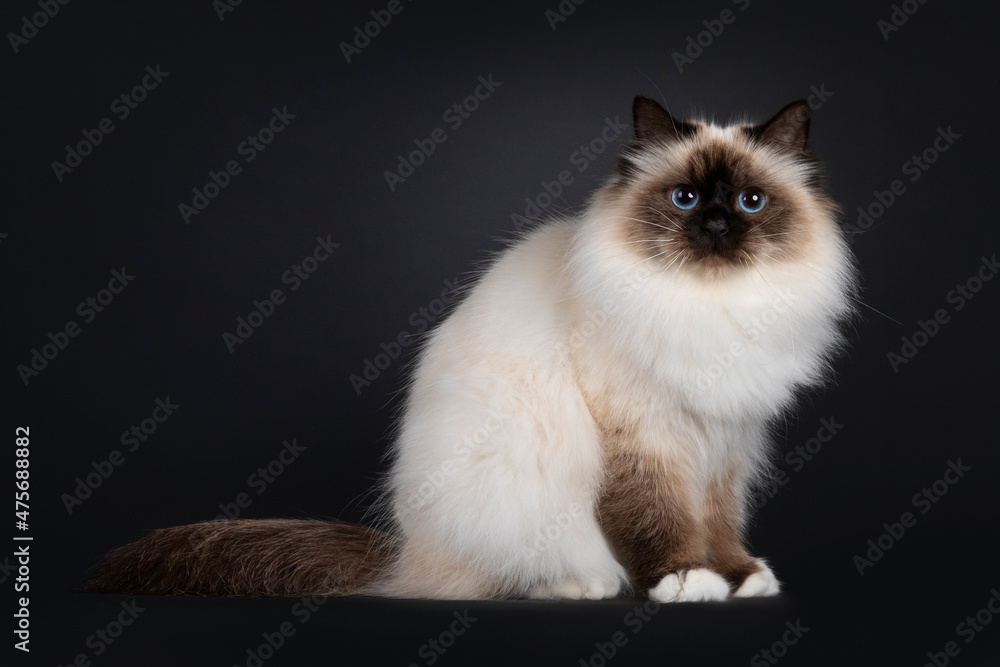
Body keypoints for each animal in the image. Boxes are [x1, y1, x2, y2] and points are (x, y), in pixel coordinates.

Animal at [86, 95, 856, 604]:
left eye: (751, 202)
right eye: (687, 199)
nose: (719, 227)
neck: (710, 305)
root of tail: (406, 555)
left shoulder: (726, 438)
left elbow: (720, 520)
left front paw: (738, 575)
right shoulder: (645, 434)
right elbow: (659, 516)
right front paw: (684, 579)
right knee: (503, 573)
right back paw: (586, 582)